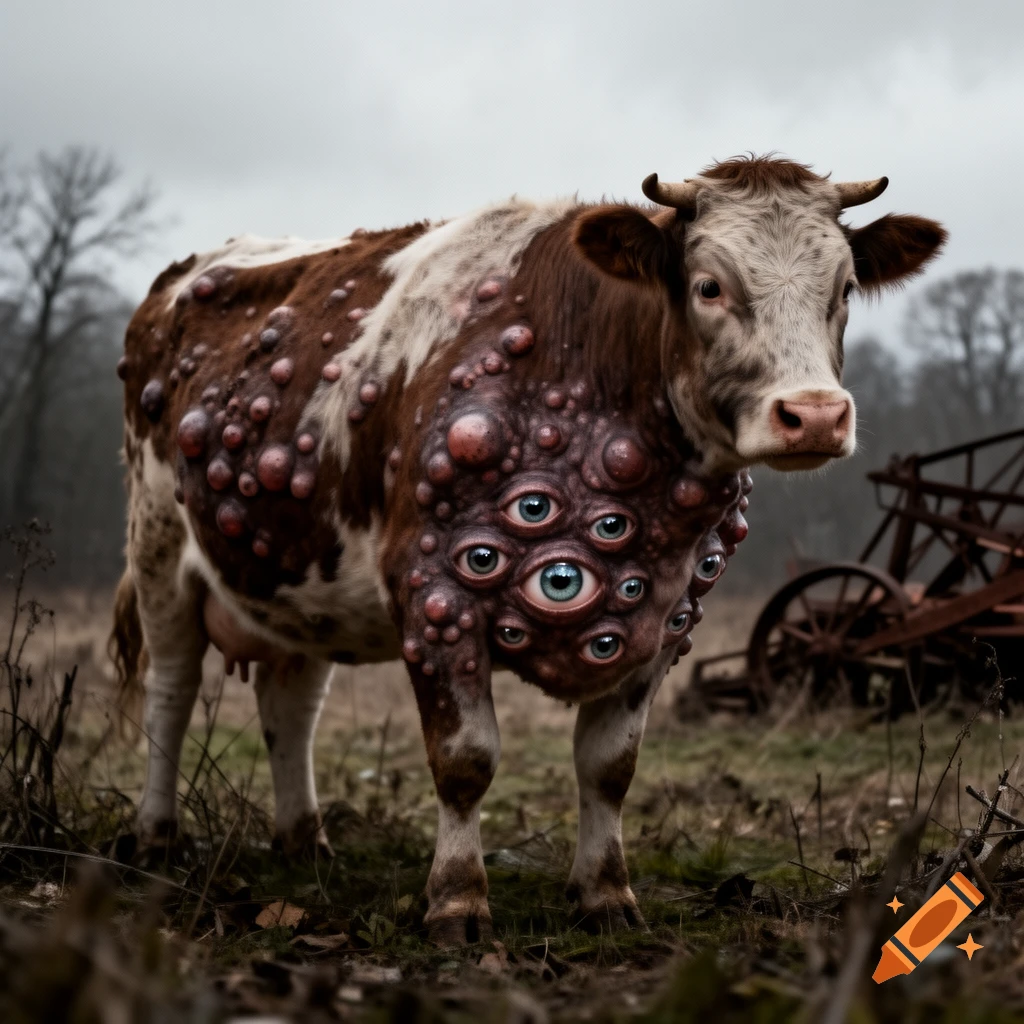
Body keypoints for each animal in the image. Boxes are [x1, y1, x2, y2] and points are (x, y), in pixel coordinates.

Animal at [110, 156, 945, 943]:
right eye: (709, 286)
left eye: (844, 287)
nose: (815, 415)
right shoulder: (435, 592)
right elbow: (465, 760)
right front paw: (456, 902)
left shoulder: (666, 616)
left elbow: (610, 767)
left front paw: (605, 895)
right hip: (158, 549)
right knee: (171, 692)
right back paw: (156, 838)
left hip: (298, 571)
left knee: (291, 702)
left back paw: (304, 844)